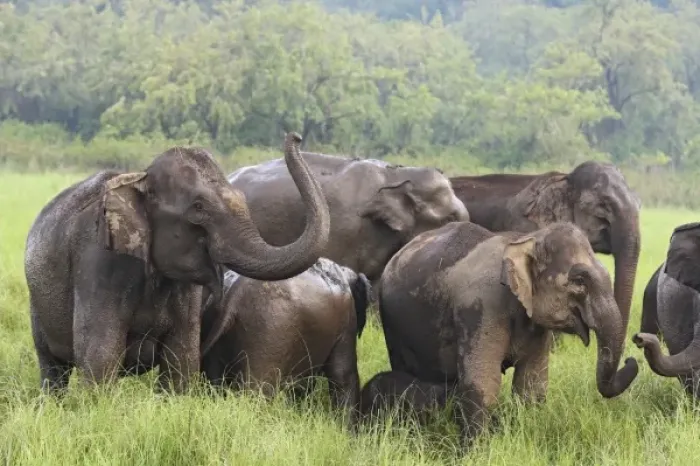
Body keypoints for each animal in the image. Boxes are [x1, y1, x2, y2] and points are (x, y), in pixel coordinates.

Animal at [24, 132, 330, 393]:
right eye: (199, 207)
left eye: (242, 198)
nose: (296, 136)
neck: (141, 180)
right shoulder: (98, 263)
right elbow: (100, 356)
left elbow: (181, 361)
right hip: (37, 305)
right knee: (53, 367)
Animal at [201, 257, 371, 425]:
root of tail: (235, 294)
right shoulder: (346, 322)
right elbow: (343, 376)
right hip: (269, 330)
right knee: (258, 390)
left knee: (215, 378)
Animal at [378, 220, 639, 442]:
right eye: (580, 281)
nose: (632, 357)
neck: (527, 239)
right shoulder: (480, 308)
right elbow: (483, 382)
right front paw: (477, 450)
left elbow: (531, 385)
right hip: (392, 325)